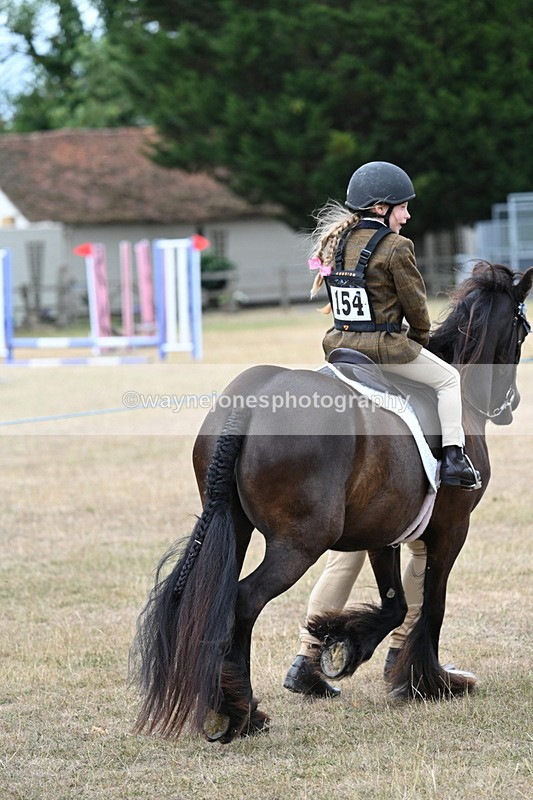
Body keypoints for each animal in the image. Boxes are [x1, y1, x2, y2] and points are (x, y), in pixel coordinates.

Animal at [131, 261, 532, 743]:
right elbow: (431, 604)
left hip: (235, 527)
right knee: (243, 602)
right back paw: (242, 712)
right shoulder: (451, 531)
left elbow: (398, 603)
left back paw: (230, 703)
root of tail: (247, 403)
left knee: (213, 598)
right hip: (300, 544)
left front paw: (343, 640)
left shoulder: (385, 533)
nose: (510, 405)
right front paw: (430, 682)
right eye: (523, 329)